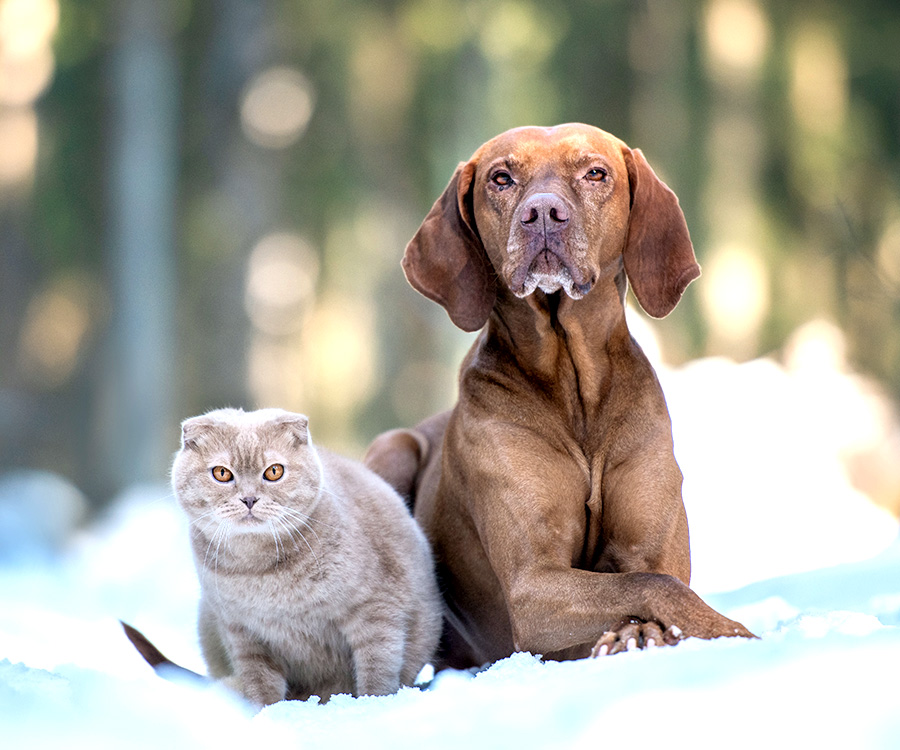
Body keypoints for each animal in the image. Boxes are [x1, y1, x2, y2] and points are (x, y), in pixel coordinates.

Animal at [162, 408, 442, 708]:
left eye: (274, 471)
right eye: (222, 473)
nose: (249, 499)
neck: (259, 571)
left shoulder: (376, 611)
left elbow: (377, 670)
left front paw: (371, 706)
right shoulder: (244, 634)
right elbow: (260, 685)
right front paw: (265, 712)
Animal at [364, 123, 752, 668]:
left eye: (596, 172)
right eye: (501, 178)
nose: (543, 213)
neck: (575, 388)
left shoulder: (654, 549)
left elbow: (656, 579)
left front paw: (653, 635)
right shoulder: (532, 587)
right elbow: (652, 586)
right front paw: (728, 632)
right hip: (392, 449)